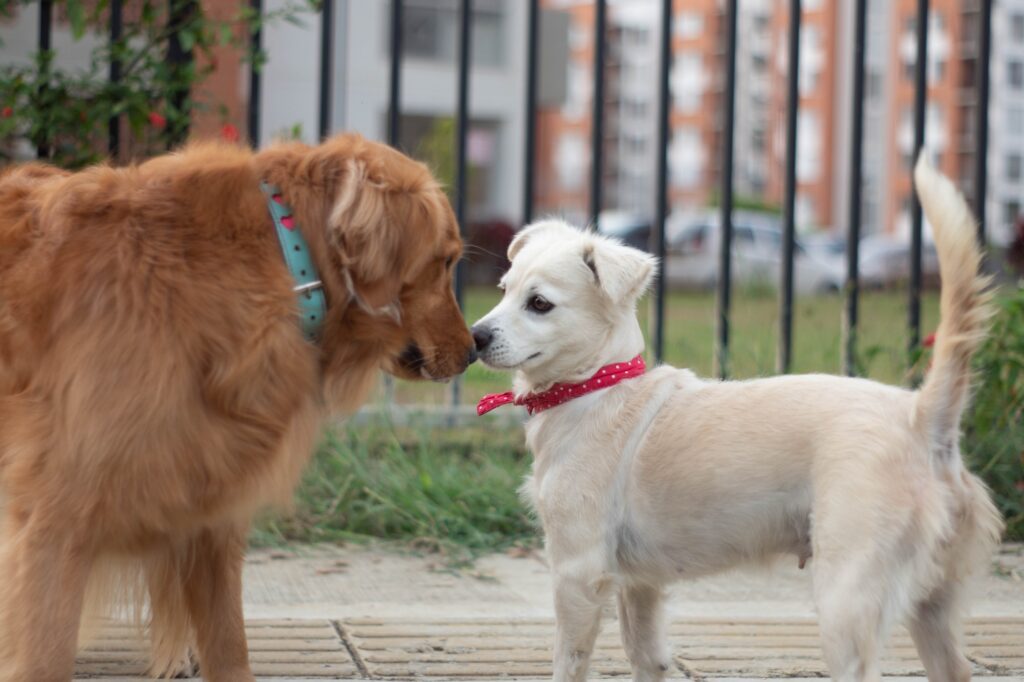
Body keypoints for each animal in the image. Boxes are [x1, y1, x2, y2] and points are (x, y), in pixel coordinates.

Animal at [0, 130, 475, 675]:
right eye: (445, 261)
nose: (474, 349)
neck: (287, 261)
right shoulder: (57, 514)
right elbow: (46, 653)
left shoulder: (210, 499)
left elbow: (228, 641)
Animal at [475, 159, 1003, 679]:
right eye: (503, 290)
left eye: (539, 303)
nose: (476, 336)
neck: (596, 385)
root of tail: (922, 418)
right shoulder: (641, 586)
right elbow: (647, 656)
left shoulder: (578, 573)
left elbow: (568, 660)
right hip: (933, 607)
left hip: (847, 597)